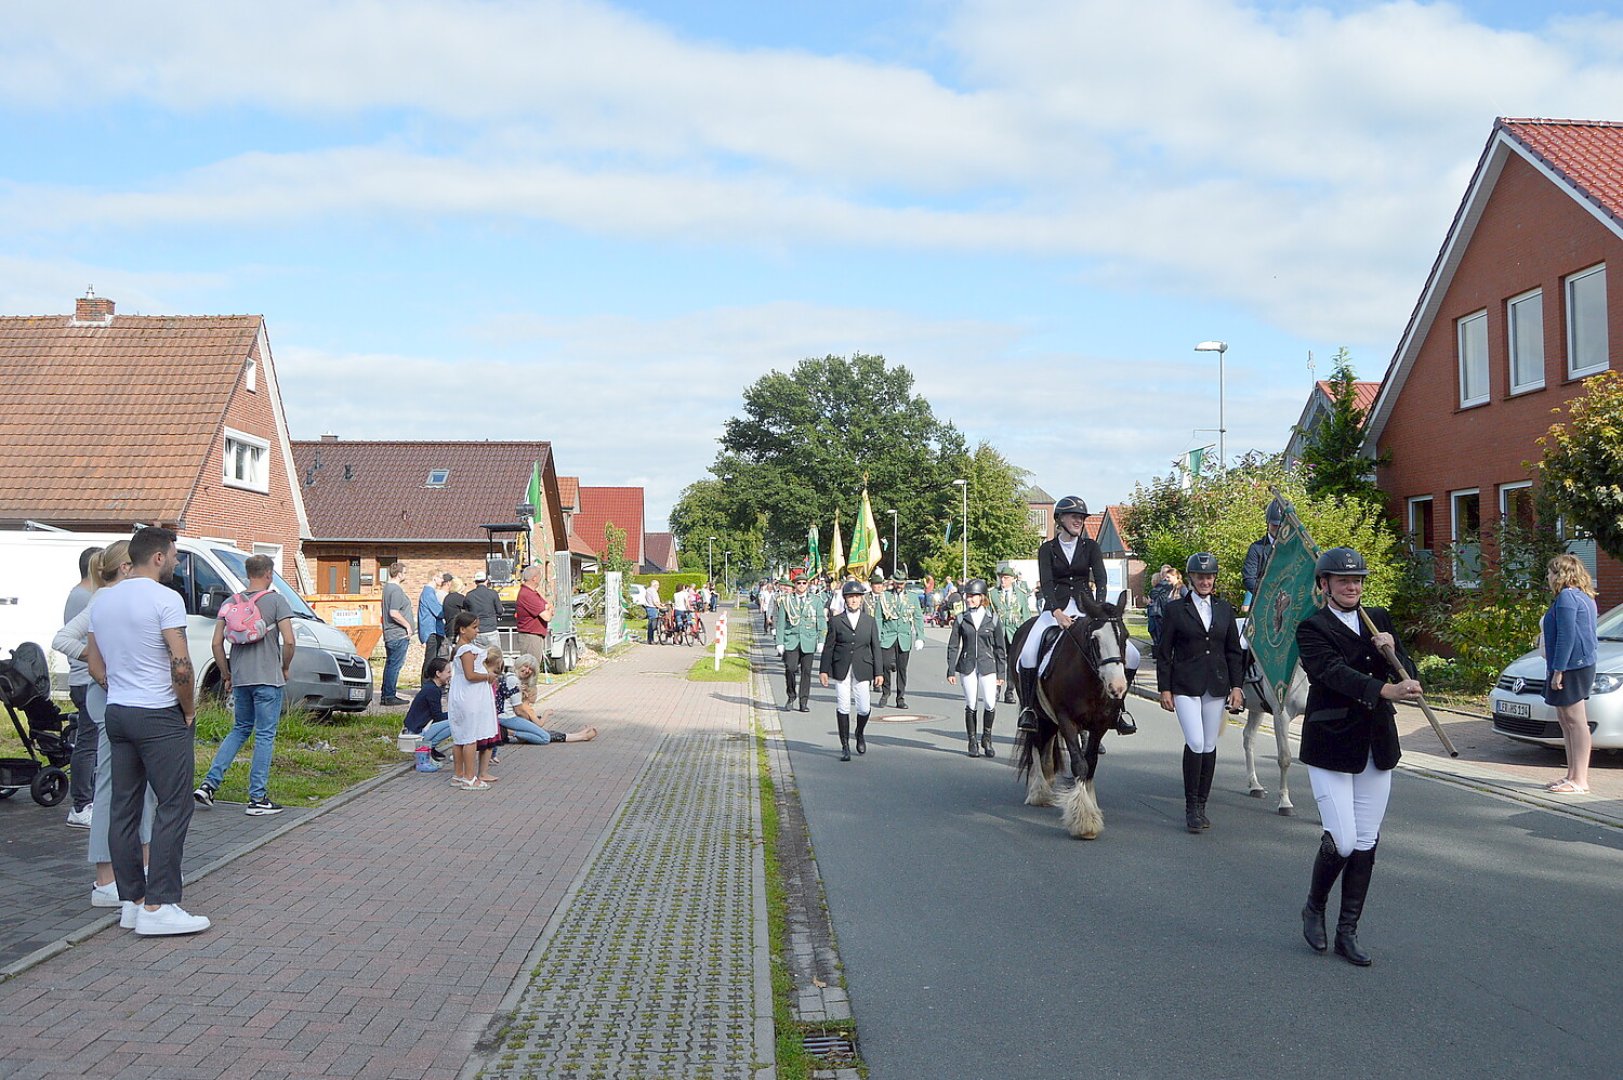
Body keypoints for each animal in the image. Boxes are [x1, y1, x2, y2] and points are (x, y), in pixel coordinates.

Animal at [1012, 594, 1129, 838]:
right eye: (1094, 639)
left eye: (1125, 636)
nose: (1117, 687)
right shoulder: (1067, 719)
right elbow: (1079, 764)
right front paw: (1084, 821)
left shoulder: (1100, 724)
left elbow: (1091, 762)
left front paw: (1091, 806)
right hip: (1036, 712)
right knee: (1036, 743)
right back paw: (1039, 791)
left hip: (1049, 718)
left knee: (1046, 745)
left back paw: (1047, 780)